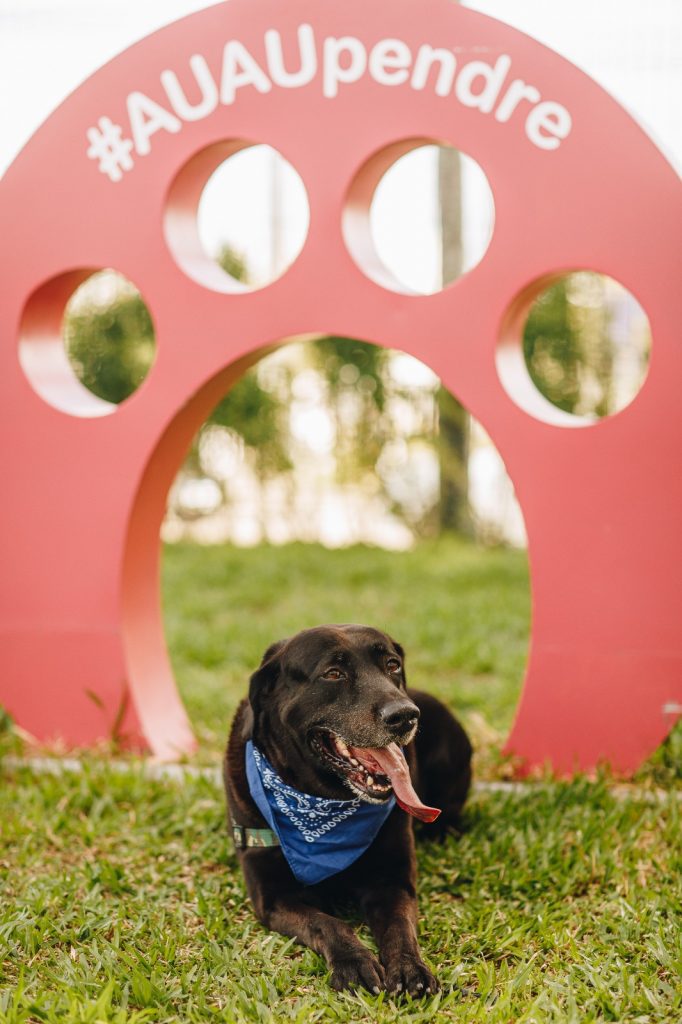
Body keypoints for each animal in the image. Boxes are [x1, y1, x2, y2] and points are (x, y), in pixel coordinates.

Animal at [220, 622, 471, 991]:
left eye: (392, 665)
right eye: (333, 673)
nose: (405, 715)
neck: (324, 804)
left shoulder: (394, 880)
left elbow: (399, 926)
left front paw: (410, 968)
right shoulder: (273, 896)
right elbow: (327, 922)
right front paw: (354, 962)